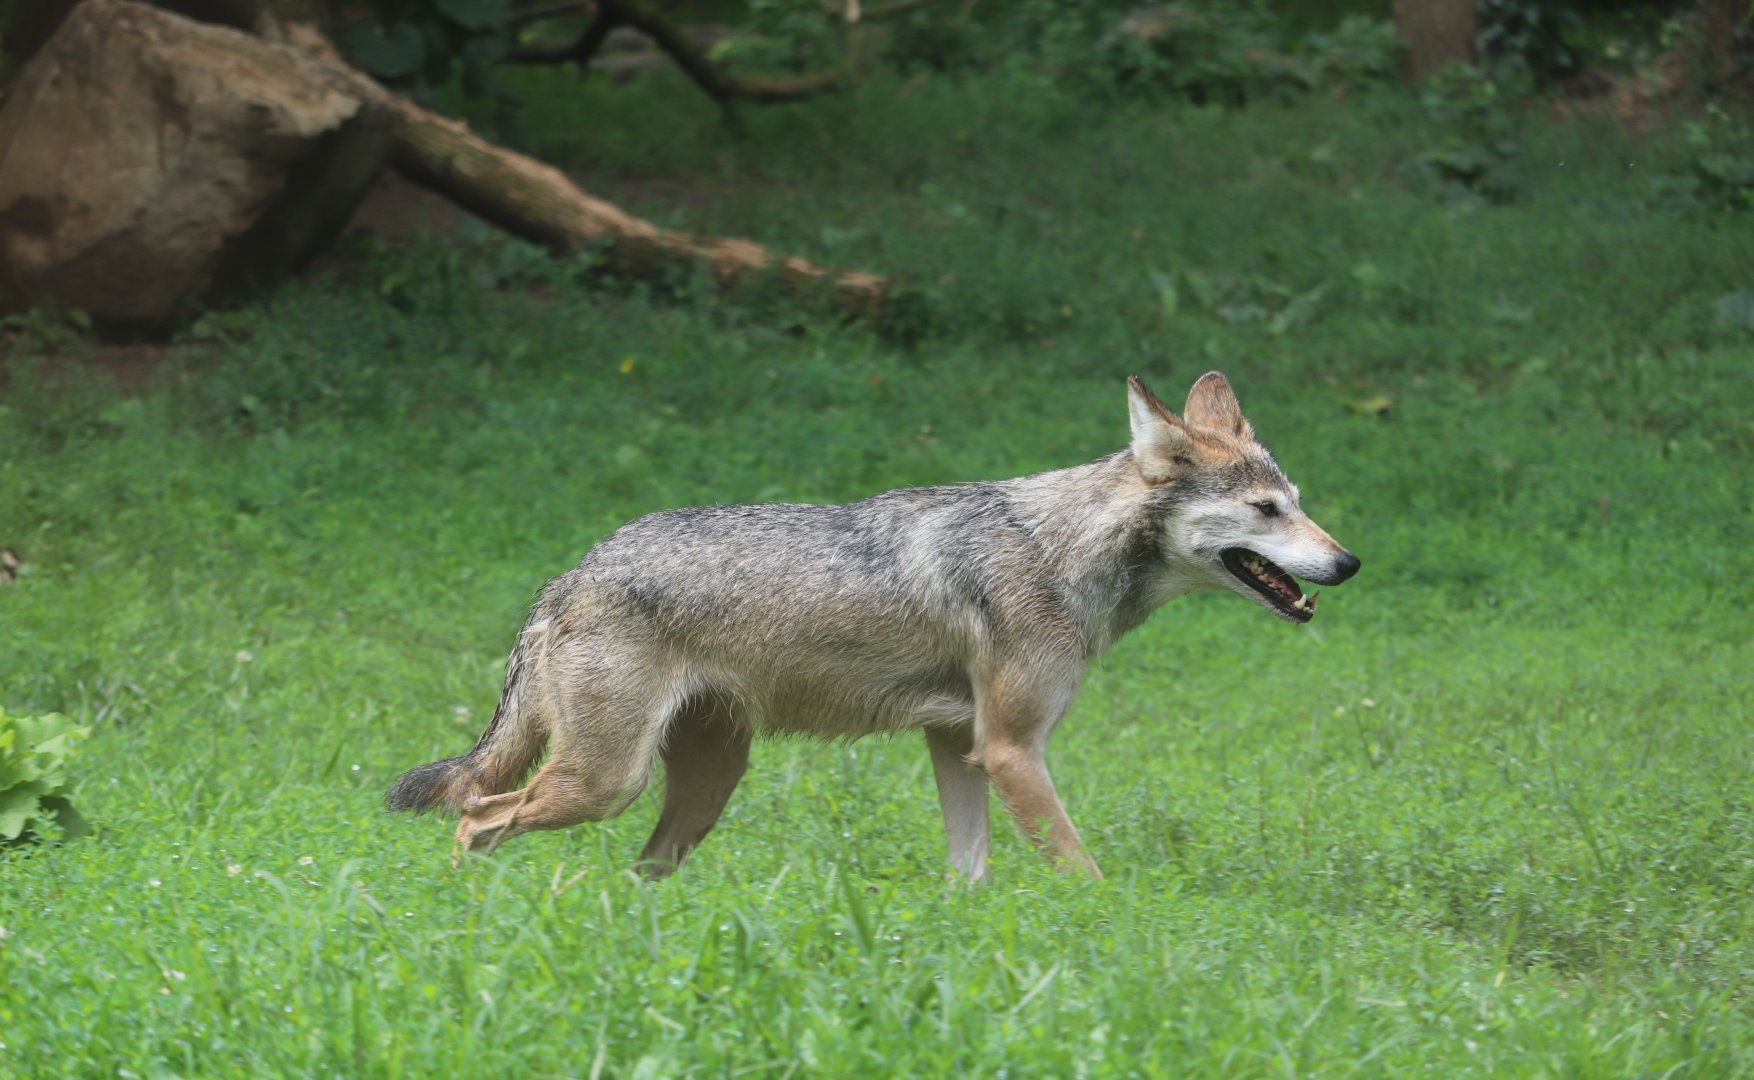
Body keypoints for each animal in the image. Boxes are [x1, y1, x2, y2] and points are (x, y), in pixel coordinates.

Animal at [386, 373, 1359, 881]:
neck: (1060, 548)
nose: (1348, 562)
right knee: (475, 818)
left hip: (695, 793)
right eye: (1267, 511)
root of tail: (570, 573)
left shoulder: (961, 747)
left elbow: (970, 875)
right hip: (605, 782)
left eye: (1300, 504)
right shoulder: (1012, 749)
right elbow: (1079, 868)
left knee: (622, 866)